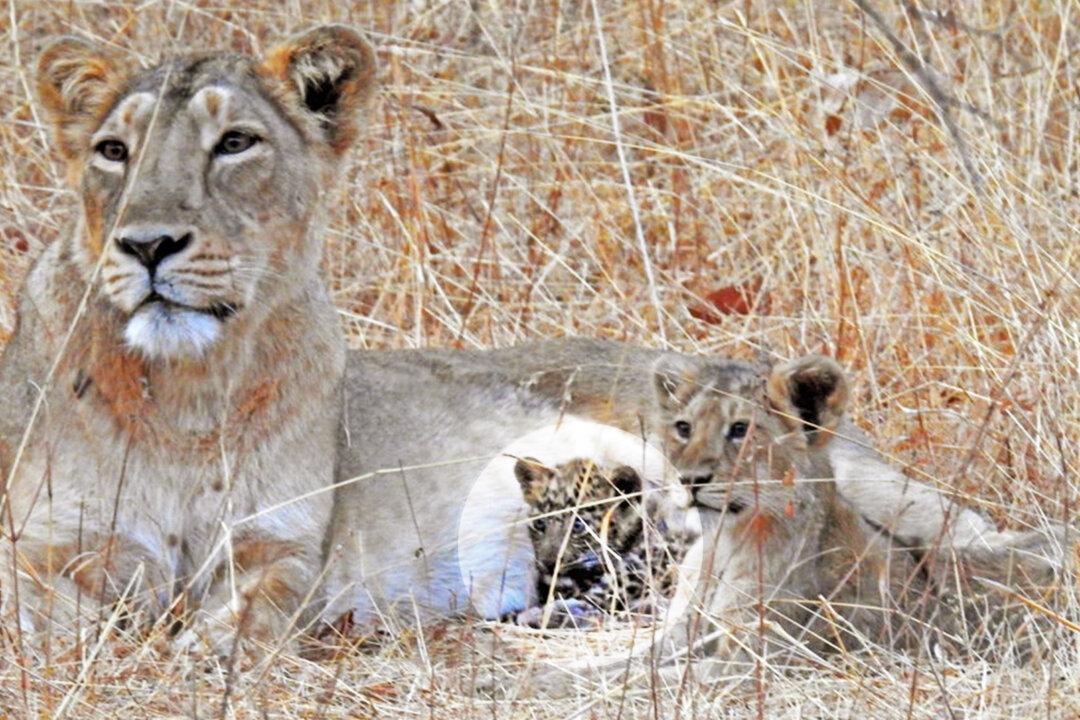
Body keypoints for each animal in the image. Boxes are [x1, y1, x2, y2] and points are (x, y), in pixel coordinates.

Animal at [0, 25, 375, 654]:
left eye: (235, 143)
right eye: (113, 151)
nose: (148, 245)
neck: (190, 390)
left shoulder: (281, 542)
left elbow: (257, 612)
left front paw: (201, 653)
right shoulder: (41, 541)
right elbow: (60, 617)